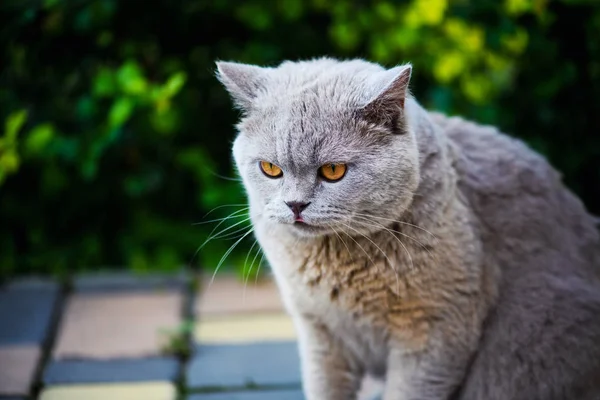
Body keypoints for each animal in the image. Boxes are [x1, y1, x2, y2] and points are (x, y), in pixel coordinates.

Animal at [216, 57, 600, 400]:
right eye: (270, 168)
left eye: (333, 171)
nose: (294, 205)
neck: (335, 263)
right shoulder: (319, 333)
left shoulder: (435, 330)